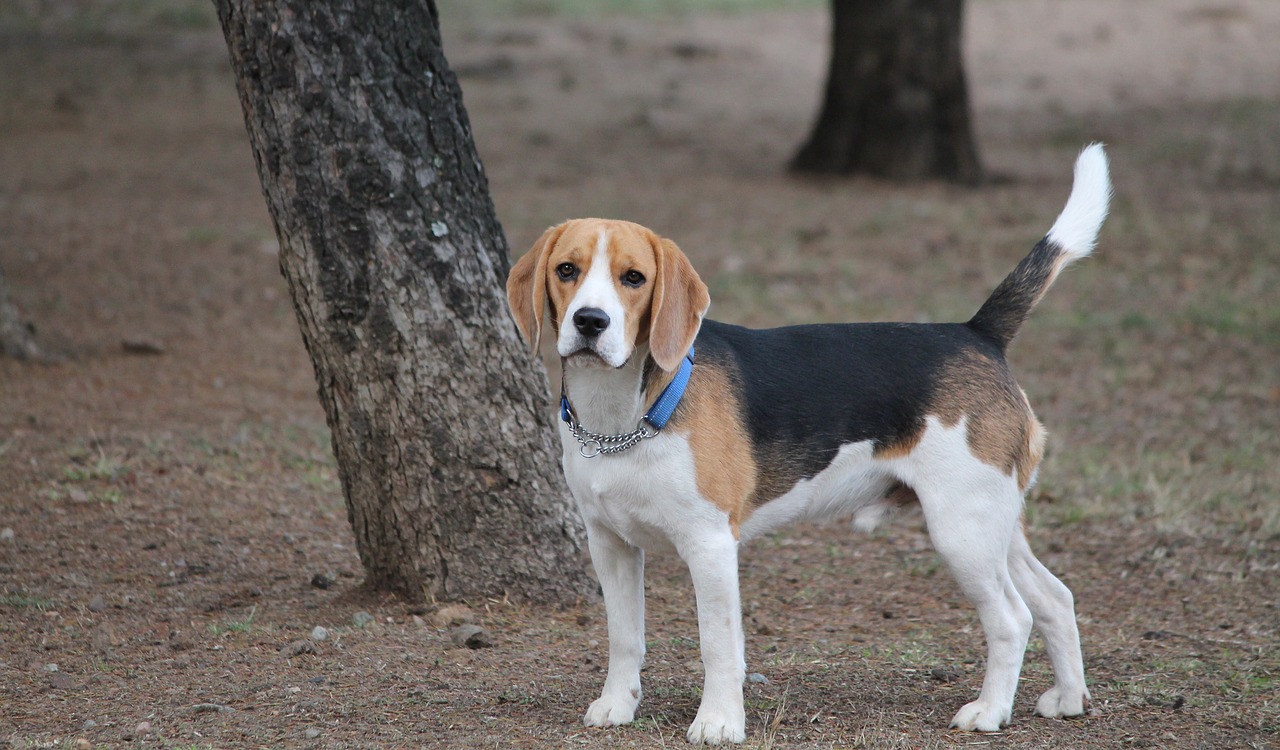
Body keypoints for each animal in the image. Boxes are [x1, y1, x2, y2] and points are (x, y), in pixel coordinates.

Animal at [501, 143, 1111, 737]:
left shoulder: (710, 545)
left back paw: (989, 711)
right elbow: (624, 636)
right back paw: (1069, 698)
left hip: (962, 528)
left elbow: (717, 645)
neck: (623, 415)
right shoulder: (610, 544)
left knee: (1012, 617)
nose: (590, 321)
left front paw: (719, 721)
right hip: (994, 522)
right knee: (1055, 598)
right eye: (566, 269)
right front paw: (617, 705)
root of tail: (977, 333)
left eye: (633, 278)